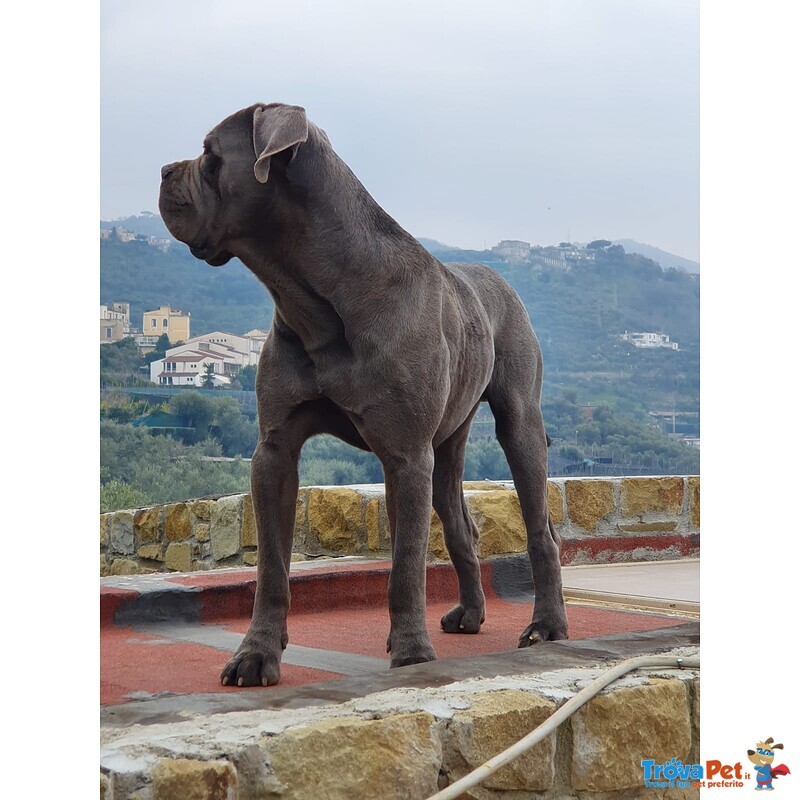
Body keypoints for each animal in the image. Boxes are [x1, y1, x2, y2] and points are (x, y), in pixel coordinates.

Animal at [158, 101, 568, 688]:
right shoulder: (275, 450)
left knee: (541, 530)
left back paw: (546, 626)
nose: (165, 171)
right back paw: (470, 613)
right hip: (446, 446)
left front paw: (412, 654)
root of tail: (496, 278)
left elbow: (405, 567)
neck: (321, 295)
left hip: (518, 424)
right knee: (460, 523)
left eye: (211, 154)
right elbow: (272, 568)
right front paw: (256, 654)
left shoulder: (406, 454)